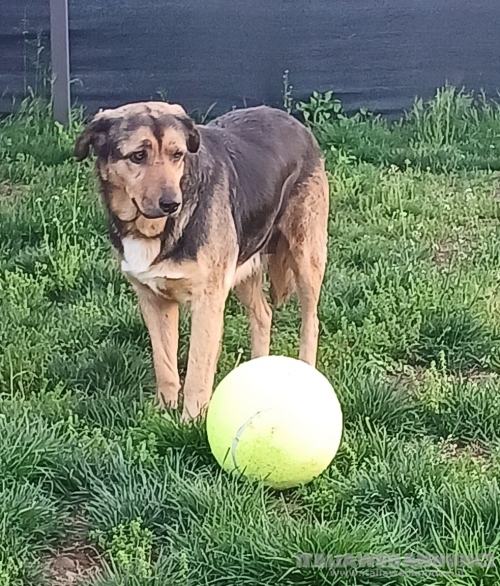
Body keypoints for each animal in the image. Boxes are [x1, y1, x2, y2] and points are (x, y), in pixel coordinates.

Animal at [74, 101, 330, 420]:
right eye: (138, 156)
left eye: (177, 154)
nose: (172, 204)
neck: (155, 230)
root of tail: (294, 122)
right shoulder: (153, 301)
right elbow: (165, 365)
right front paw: (164, 413)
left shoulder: (208, 301)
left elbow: (197, 369)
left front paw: (191, 421)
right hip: (243, 265)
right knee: (263, 314)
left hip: (306, 257)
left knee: (311, 321)